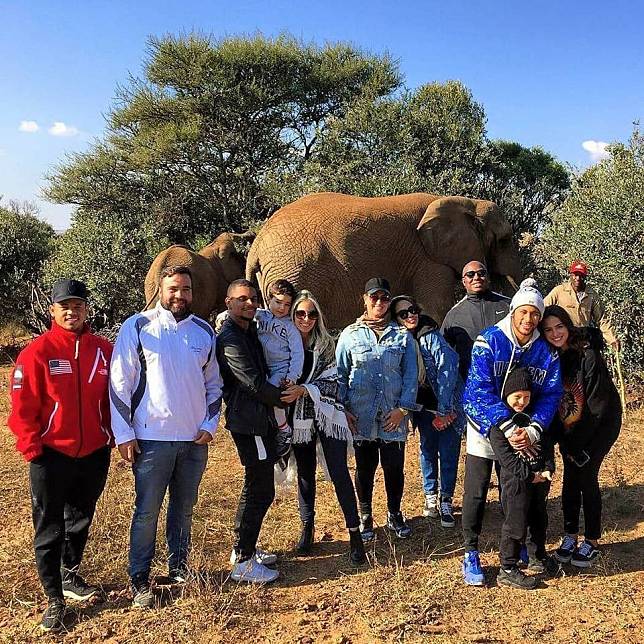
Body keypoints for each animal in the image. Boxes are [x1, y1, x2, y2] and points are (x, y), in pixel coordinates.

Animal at [247, 191, 524, 328]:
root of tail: (256, 246)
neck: (467, 202)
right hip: (294, 269)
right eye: (505, 240)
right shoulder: (429, 261)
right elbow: (436, 308)